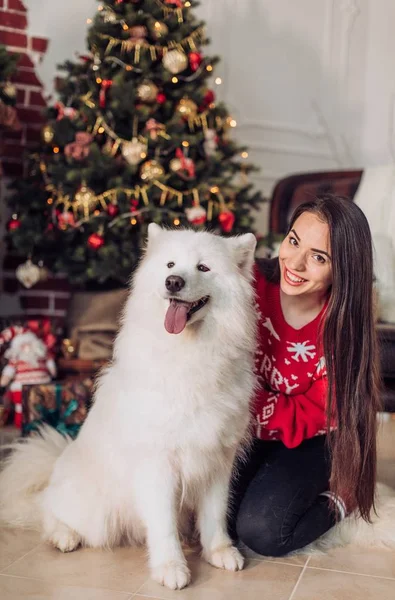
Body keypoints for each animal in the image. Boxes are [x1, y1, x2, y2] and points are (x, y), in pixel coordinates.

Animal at [0, 225, 258, 592]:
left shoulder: (217, 459)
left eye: (203, 268)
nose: (173, 282)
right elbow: (163, 525)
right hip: (95, 514)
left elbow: (215, 515)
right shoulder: (158, 462)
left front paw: (218, 552)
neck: (189, 352)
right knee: (50, 514)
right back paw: (63, 536)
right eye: (170, 265)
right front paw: (171, 567)